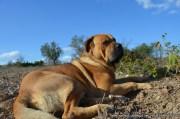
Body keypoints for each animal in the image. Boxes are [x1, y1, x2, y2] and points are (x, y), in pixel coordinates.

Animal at [13, 33, 152, 119]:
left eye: (115, 39)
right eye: (105, 42)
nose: (120, 45)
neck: (98, 60)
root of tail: (22, 93)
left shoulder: (113, 82)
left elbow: (129, 78)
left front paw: (143, 76)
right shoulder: (108, 87)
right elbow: (130, 83)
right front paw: (145, 85)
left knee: (85, 101)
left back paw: (115, 99)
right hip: (72, 82)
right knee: (70, 112)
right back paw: (105, 106)